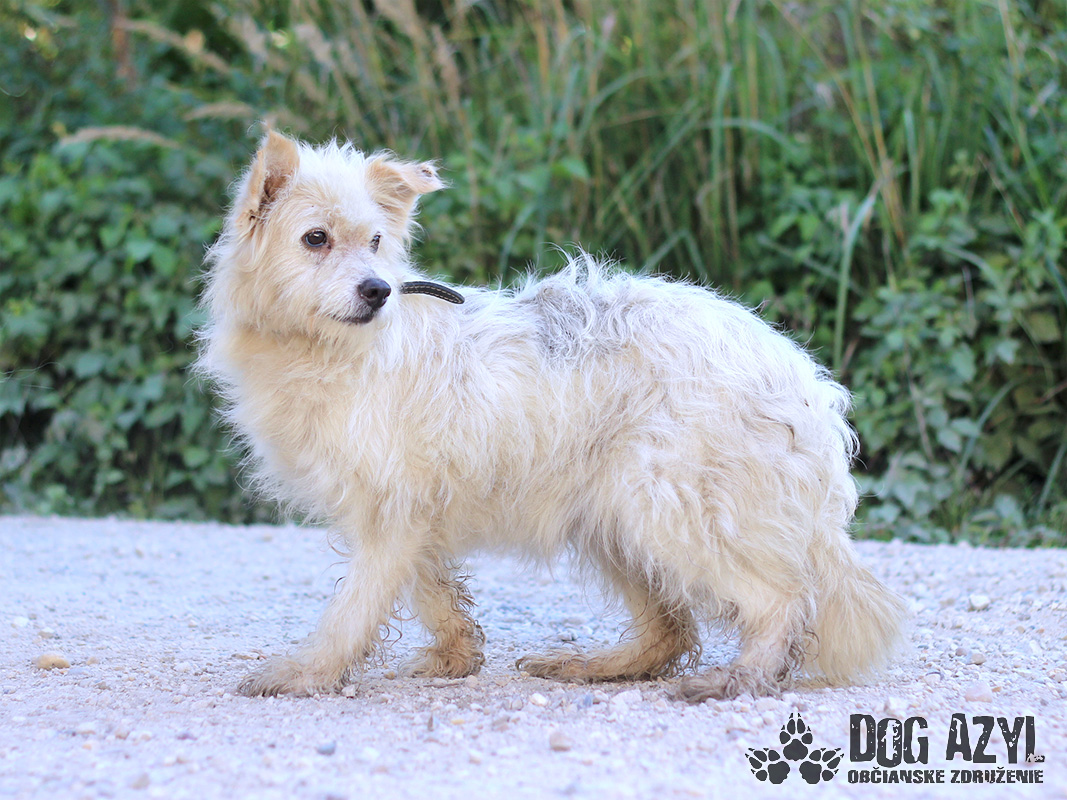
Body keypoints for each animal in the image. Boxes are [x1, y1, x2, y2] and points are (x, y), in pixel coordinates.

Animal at [196, 131, 906, 701]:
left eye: (374, 241)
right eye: (315, 239)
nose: (377, 290)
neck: (332, 350)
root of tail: (799, 377)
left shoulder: (391, 511)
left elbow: (353, 606)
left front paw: (307, 673)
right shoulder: (409, 509)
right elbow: (432, 592)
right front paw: (455, 658)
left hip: (670, 506)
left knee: (780, 600)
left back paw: (741, 677)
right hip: (612, 517)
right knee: (672, 629)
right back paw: (595, 667)